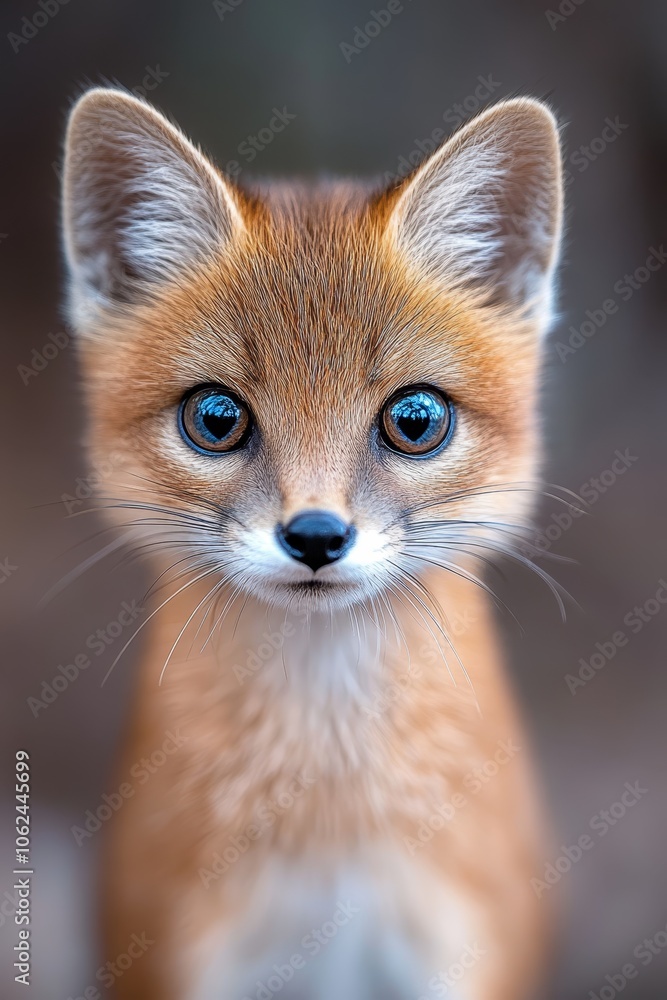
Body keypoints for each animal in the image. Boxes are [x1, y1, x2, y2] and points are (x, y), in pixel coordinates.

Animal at [61, 87, 564, 1000]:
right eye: (216, 417)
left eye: (415, 420)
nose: (317, 535)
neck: (331, 820)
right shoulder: (180, 958)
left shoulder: (463, 955)